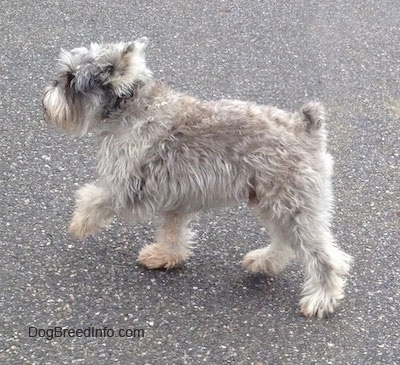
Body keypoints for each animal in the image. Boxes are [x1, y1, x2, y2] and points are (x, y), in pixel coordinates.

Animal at [42, 36, 352, 316]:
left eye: (70, 78)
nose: (45, 100)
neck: (131, 105)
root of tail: (305, 127)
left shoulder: (127, 186)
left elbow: (91, 199)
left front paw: (80, 224)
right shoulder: (175, 196)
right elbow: (171, 230)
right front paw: (166, 256)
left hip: (293, 205)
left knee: (324, 257)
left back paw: (321, 299)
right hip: (271, 202)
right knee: (284, 241)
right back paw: (264, 261)